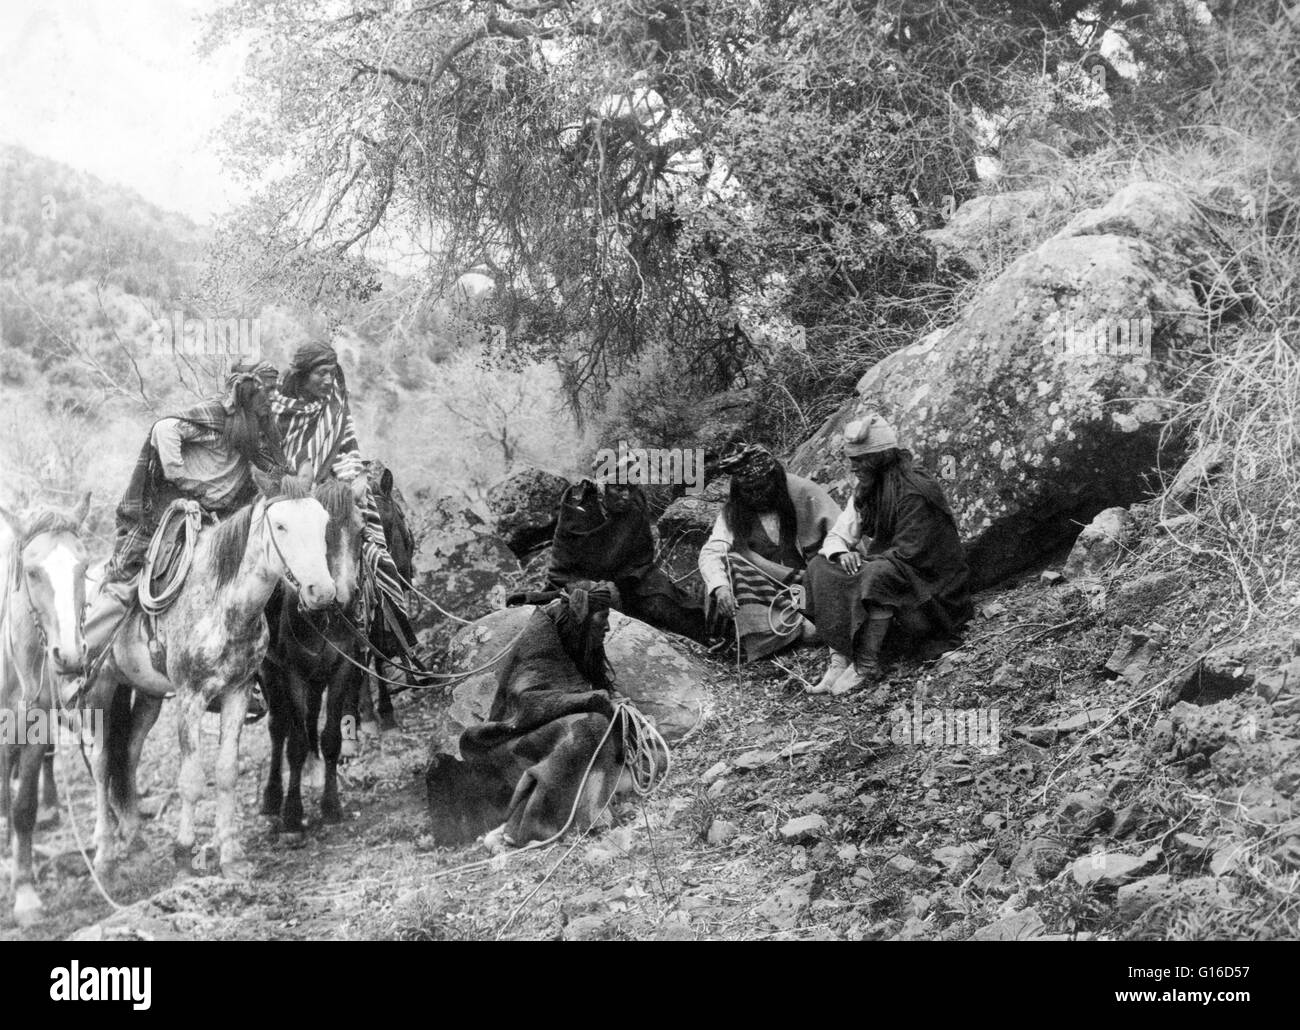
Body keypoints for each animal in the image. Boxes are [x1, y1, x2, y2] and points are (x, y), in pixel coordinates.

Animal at [89, 465, 335, 879]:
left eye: (324, 522)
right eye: (281, 525)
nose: (323, 591)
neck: (222, 603)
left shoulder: (237, 692)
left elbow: (225, 772)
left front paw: (231, 854)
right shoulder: (190, 698)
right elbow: (191, 779)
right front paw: (183, 854)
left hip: (146, 693)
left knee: (129, 753)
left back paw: (136, 843)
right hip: (98, 693)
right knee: (103, 762)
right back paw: (105, 855)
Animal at [260, 478, 366, 842]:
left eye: (362, 531)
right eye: (327, 534)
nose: (343, 595)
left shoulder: (343, 667)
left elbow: (331, 737)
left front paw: (331, 807)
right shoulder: (292, 672)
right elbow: (293, 744)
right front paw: (292, 817)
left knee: (309, 718)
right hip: (270, 671)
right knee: (279, 728)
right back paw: (272, 799)